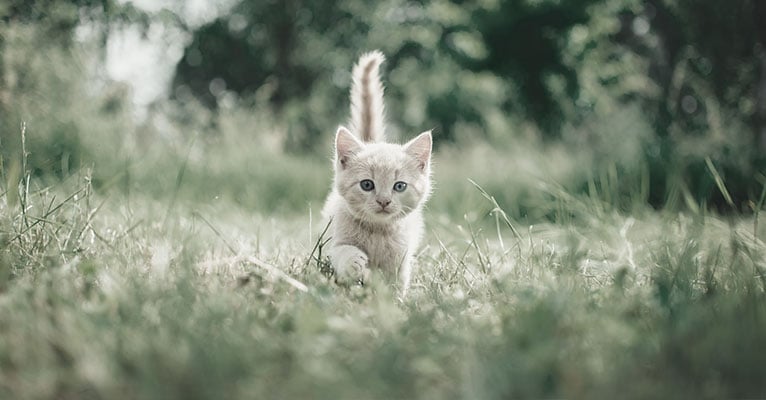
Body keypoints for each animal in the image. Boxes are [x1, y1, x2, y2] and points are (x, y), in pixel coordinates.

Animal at [320, 50, 436, 294]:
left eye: (399, 186)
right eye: (367, 184)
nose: (384, 201)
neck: (377, 232)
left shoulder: (401, 259)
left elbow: (395, 284)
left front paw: (394, 301)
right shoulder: (334, 240)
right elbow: (342, 251)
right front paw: (354, 261)